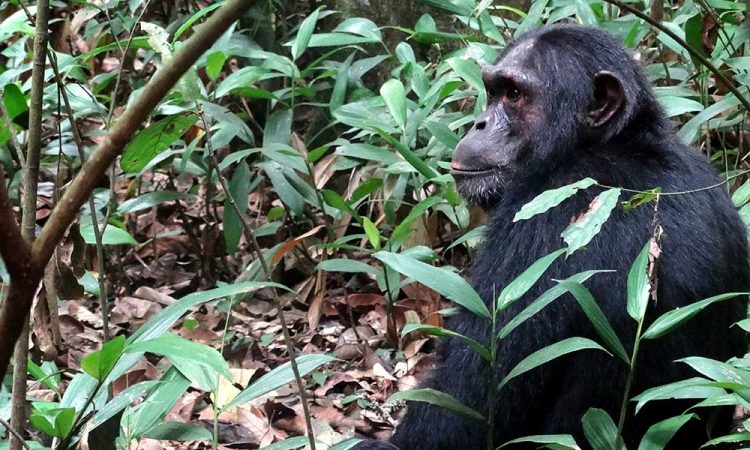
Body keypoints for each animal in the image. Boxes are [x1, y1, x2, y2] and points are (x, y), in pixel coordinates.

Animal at [354, 24, 750, 450]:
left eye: (514, 94)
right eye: (492, 90)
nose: (479, 123)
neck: (609, 145)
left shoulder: (539, 222)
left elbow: (464, 408)